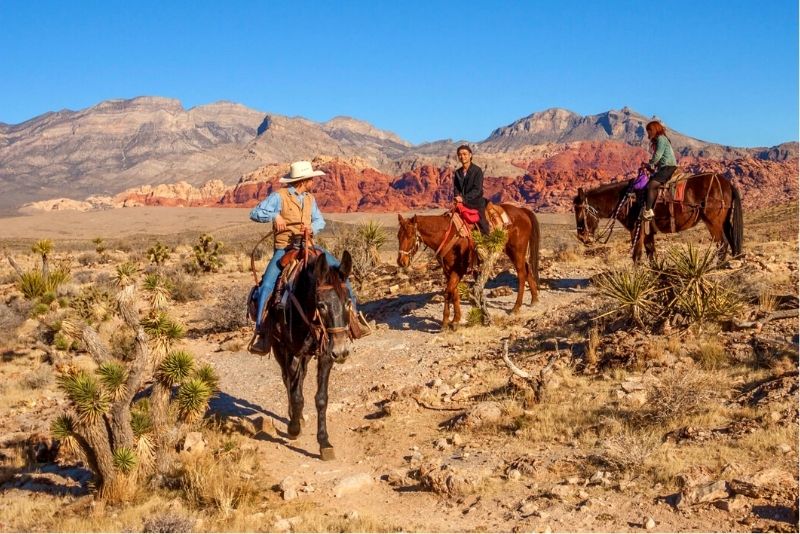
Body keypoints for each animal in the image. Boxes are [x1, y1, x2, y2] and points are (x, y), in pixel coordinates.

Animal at [396, 205, 540, 330]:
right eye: (398, 236)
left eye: (410, 235)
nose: (401, 261)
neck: (447, 235)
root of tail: (521, 210)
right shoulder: (448, 270)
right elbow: (454, 292)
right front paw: (455, 319)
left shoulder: (459, 269)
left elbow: (448, 291)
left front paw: (448, 322)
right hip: (511, 251)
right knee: (527, 269)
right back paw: (534, 299)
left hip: (517, 250)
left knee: (521, 274)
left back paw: (516, 307)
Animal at [576, 175, 744, 264]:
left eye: (580, 213)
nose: (582, 238)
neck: (627, 200)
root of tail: (726, 182)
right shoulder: (648, 233)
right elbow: (652, 255)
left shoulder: (637, 231)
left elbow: (637, 256)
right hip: (724, 222)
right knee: (730, 242)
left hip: (713, 223)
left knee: (722, 244)